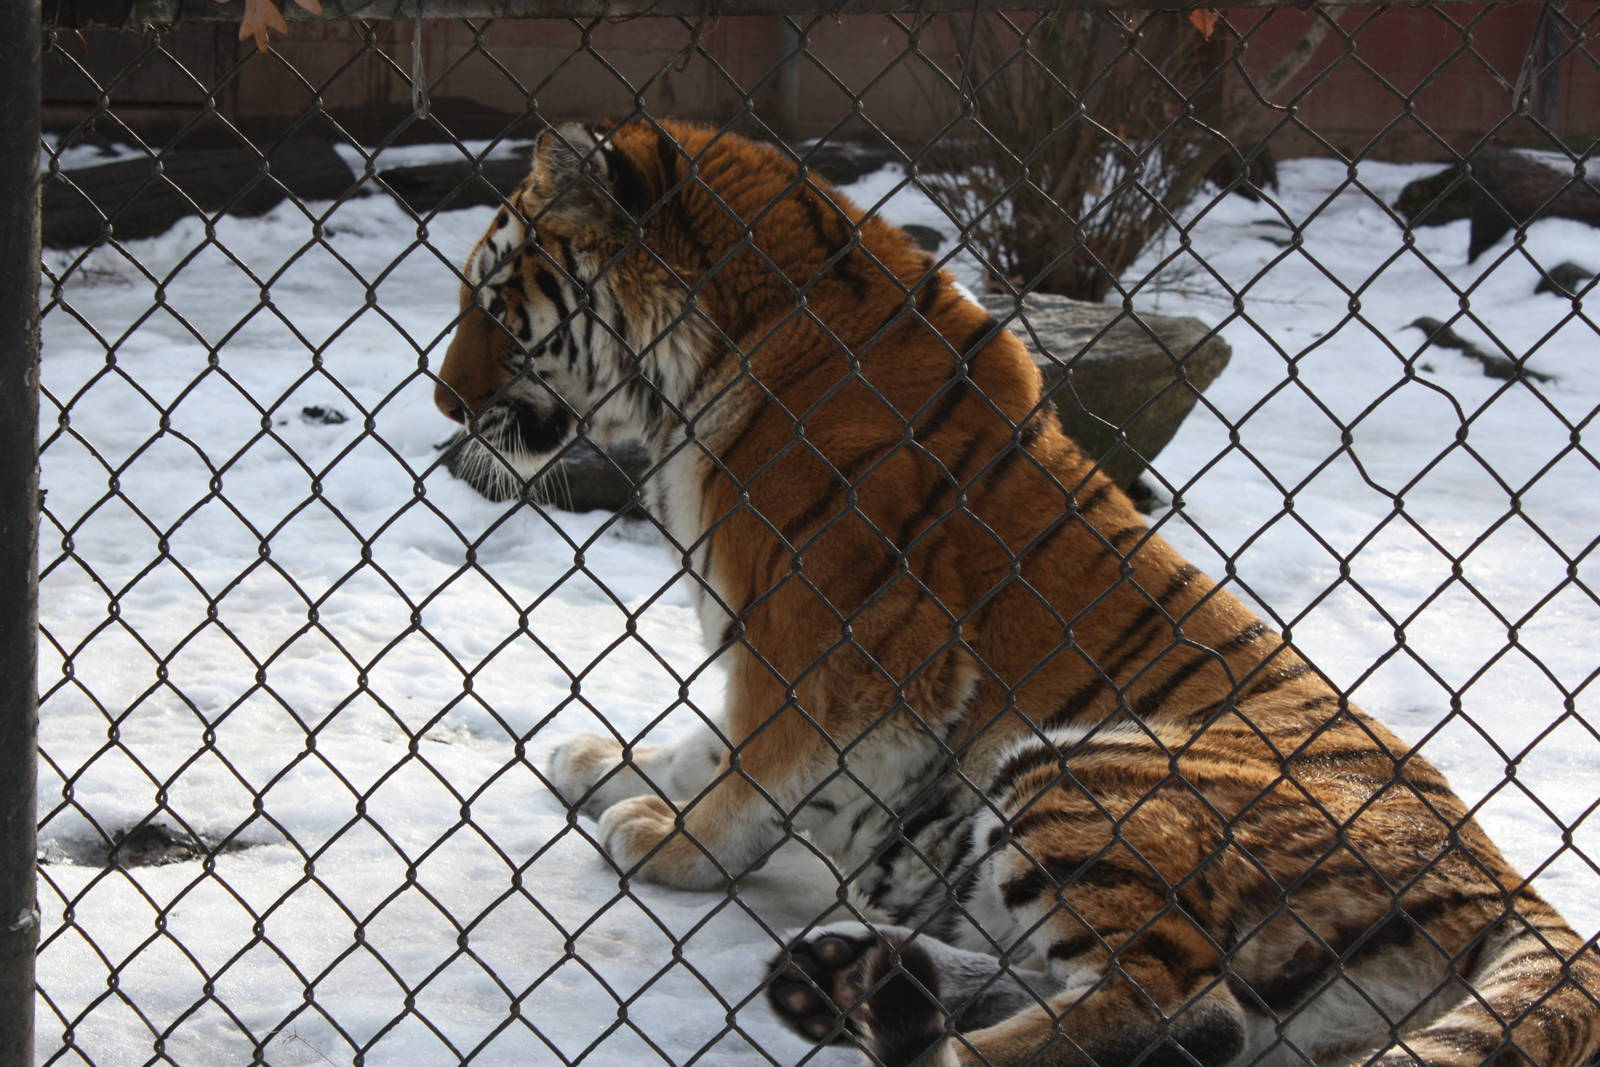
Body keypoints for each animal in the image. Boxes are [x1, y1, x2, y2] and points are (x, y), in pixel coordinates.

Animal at [432, 118, 1600, 1067]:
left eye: (495, 300)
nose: (444, 402)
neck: (708, 356)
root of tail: (1509, 887)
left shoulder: (834, 636)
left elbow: (757, 761)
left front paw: (669, 839)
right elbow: (710, 737)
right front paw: (609, 767)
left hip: (1088, 773)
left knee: (1174, 1004)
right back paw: (852, 980)